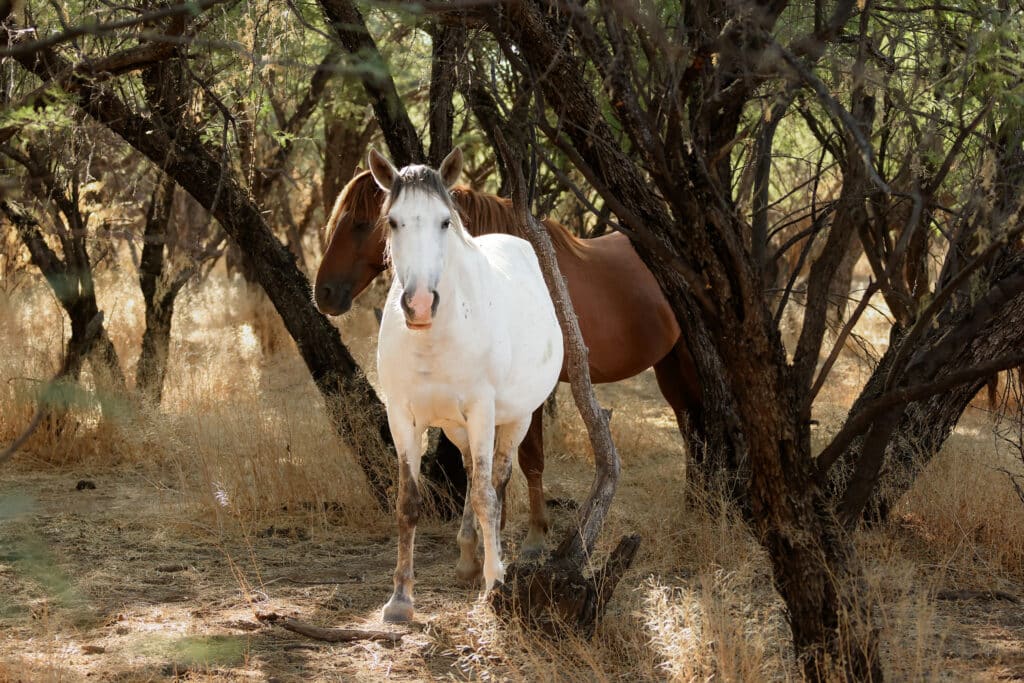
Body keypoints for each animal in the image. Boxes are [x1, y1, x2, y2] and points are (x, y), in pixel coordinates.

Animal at [315, 172, 700, 557]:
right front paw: (494, 535)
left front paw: (533, 537)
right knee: (688, 423)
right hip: (668, 363)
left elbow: (528, 459)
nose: (324, 294)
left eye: (362, 223)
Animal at [368, 149, 561, 626]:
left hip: (515, 418)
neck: (434, 337)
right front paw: (400, 599)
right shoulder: (401, 417)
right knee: (474, 473)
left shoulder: (482, 411)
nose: (420, 305)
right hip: (456, 428)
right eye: (394, 221)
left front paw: (495, 584)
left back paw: (492, 562)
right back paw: (468, 559)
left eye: (443, 221)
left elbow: (487, 497)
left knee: (496, 479)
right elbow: (409, 502)